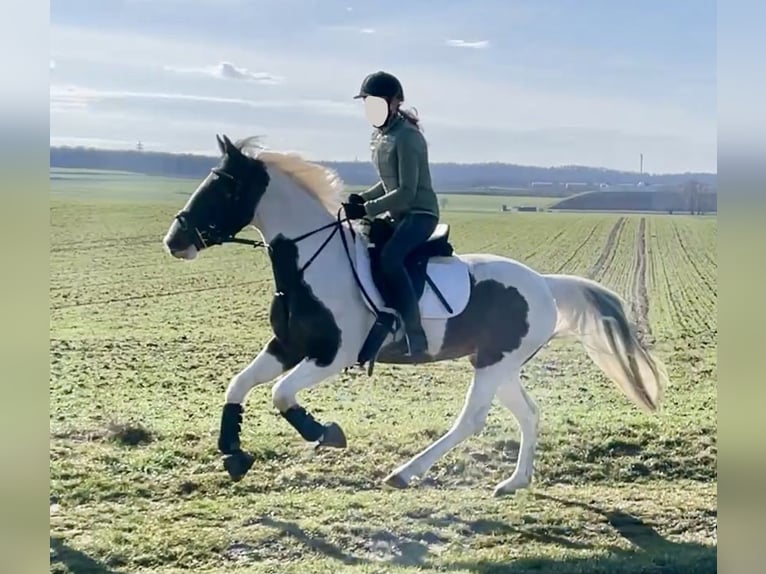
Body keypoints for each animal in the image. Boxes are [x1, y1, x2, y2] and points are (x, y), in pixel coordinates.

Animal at [162, 134, 668, 497]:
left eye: (225, 187)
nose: (174, 241)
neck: (311, 264)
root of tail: (544, 283)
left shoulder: (332, 356)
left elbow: (281, 395)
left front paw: (326, 433)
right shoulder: (287, 346)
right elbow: (239, 386)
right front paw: (233, 454)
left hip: (494, 364)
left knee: (472, 420)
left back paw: (406, 473)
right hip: (497, 363)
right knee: (528, 413)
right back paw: (513, 482)